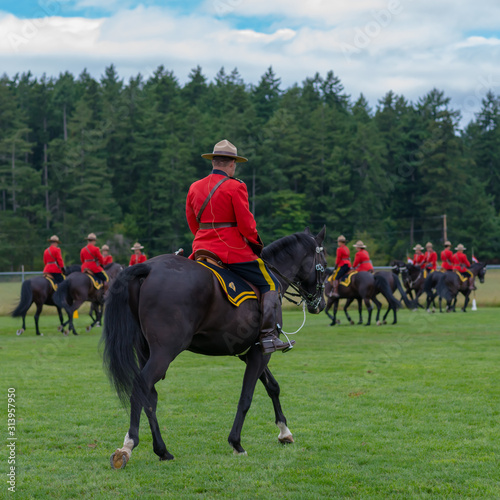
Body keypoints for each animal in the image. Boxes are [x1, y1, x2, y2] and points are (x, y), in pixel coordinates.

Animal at [102, 229, 328, 466]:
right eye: (324, 264)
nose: (320, 304)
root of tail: (149, 268)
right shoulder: (260, 353)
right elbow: (246, 397)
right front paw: (236, 443)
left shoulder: (250, 352)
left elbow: (272, 387)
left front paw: (284, 432)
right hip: (164, 353)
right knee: (141, 386)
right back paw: (128, 445)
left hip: (145, 352)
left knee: (150, 396)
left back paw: (162, 450)